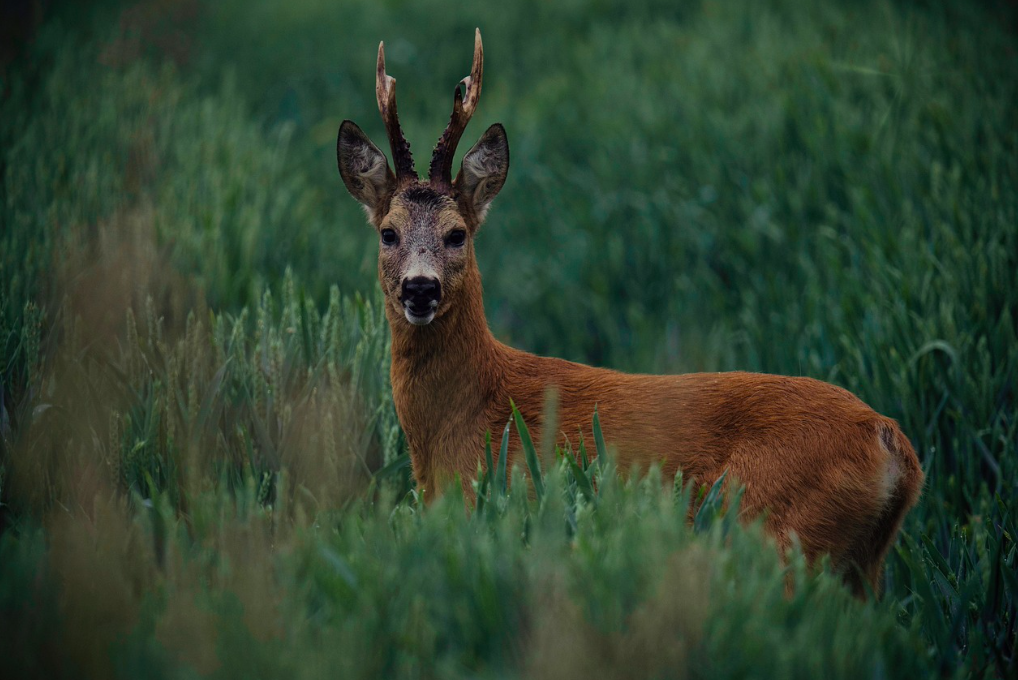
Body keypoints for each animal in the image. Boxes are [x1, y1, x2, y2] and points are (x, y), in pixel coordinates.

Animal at [337, 30, 928, 594]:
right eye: (388, 232)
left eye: (457, 234)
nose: (420, 288)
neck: (470, 413)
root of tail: (892, 443)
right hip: (860, 565)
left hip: (780, 535)